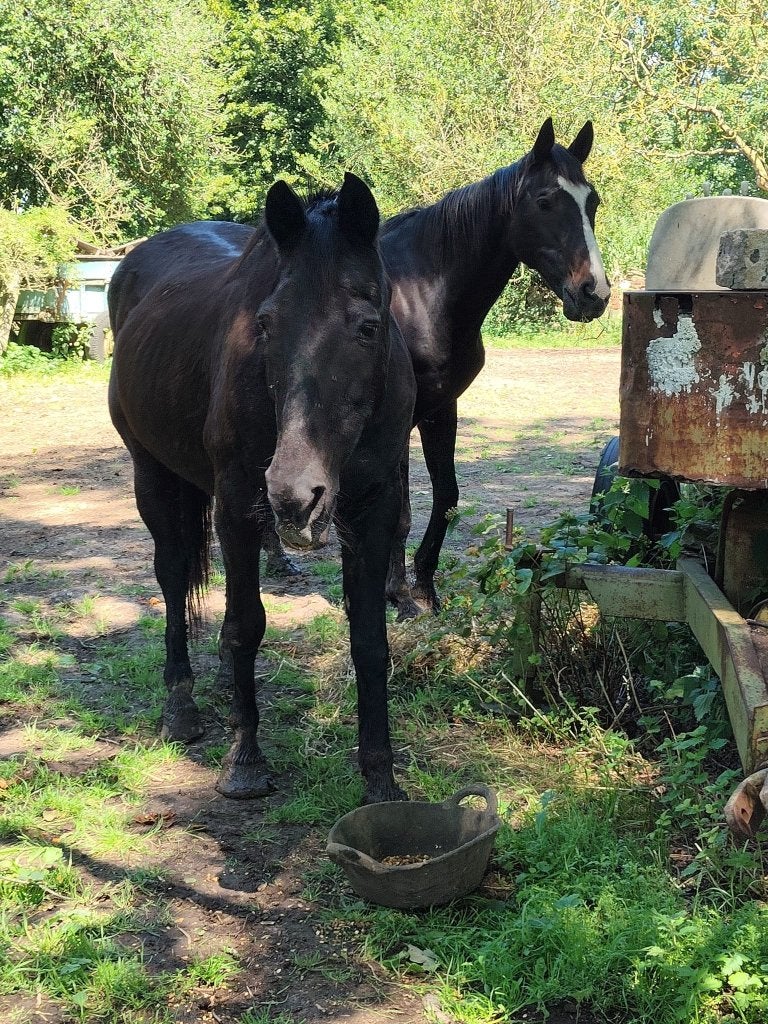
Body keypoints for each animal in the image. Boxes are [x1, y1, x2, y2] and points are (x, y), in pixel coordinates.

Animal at [108, 173, 416, 804]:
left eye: (369, 327)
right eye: (267, 324)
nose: (294, 494)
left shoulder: (372, 512)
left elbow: (370, 640)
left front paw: (381, 775)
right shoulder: (236, 511)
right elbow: (247, 626)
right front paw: (245, 760)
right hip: (154, 476)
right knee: (173, 581)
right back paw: (182, 707)